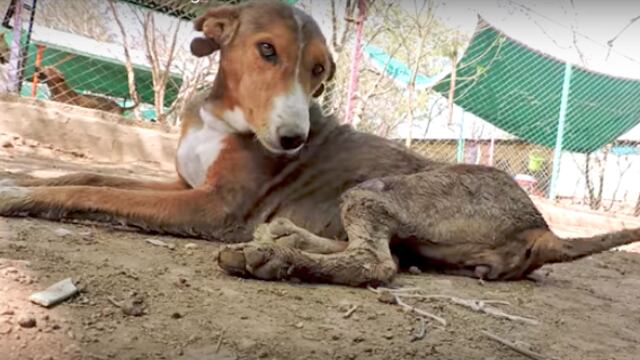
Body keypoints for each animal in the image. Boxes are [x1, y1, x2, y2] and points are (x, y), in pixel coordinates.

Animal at [0, 0, 636, 286]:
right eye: (266, 50)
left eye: (321, 72)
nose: (292, 139)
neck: (220, 118)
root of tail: (543, 227)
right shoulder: (180, 181)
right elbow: (82, 176)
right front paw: (22, 178)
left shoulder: (213, 208)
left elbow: (93, 193)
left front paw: (22, 198)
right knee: (379, 252)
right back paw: (285, 236)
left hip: (382, 188)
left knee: (378, 264)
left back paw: (274, 256)